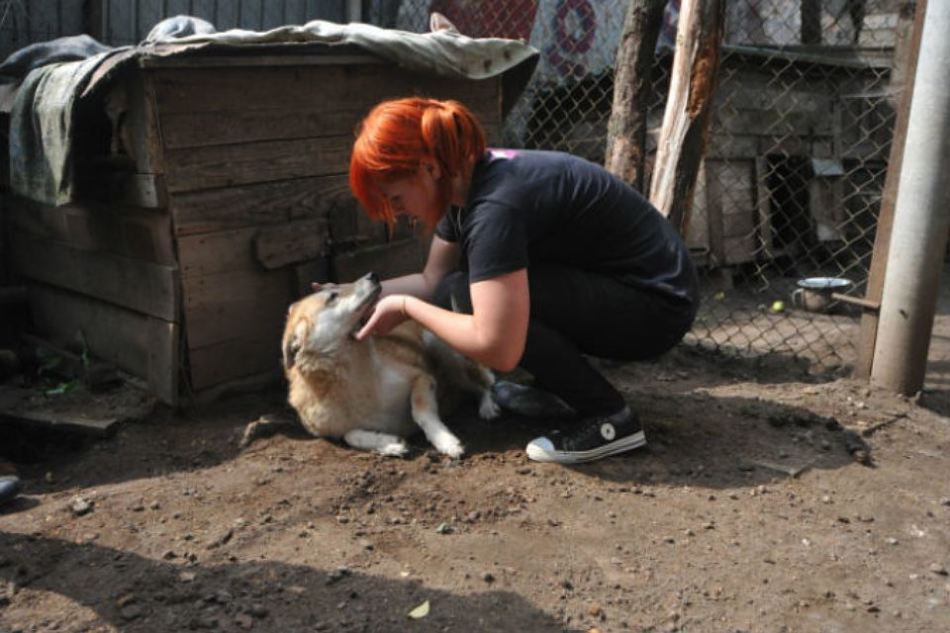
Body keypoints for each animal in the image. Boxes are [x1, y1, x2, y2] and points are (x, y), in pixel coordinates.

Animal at [282, 270, 502, 454]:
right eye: (332, 296)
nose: (372, 274)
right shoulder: (332, 431)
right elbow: (350, 435)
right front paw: (389, 444)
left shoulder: (421, 377)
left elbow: (421, 411)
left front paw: (445, 441)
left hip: (445, 353)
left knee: (483, 383)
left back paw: (488, 406)